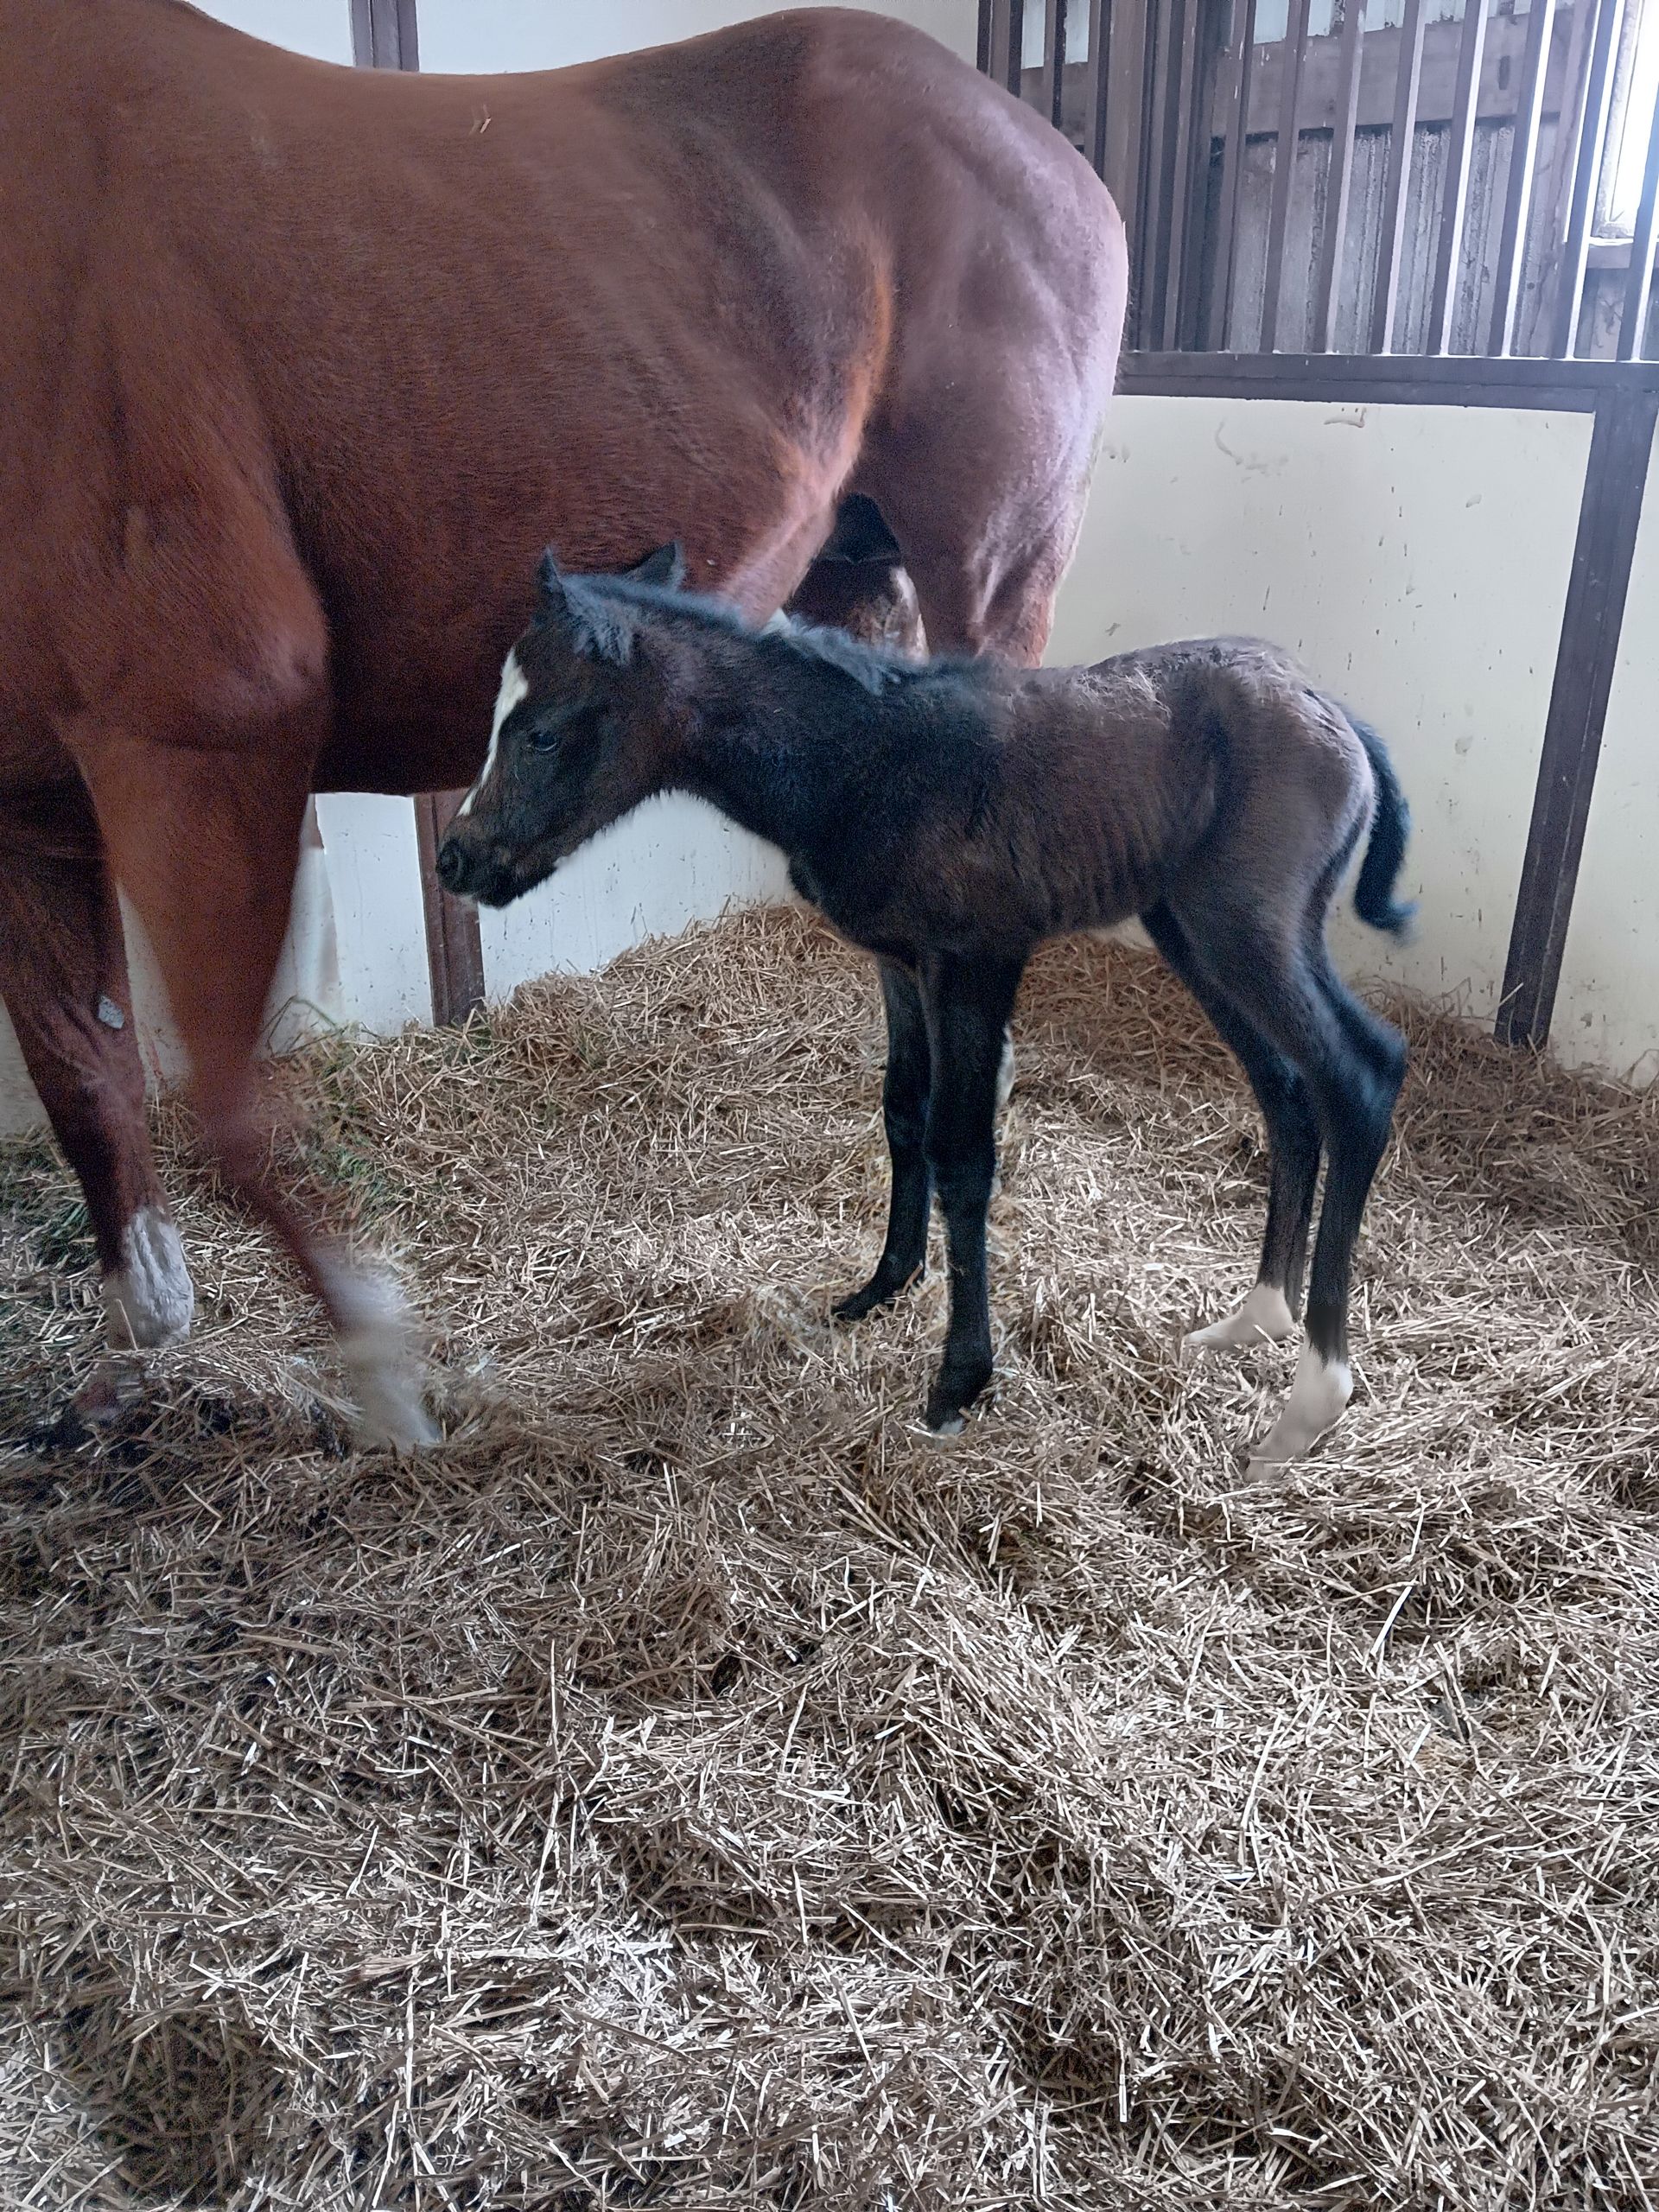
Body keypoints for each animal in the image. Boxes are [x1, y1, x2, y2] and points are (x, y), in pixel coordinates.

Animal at [0, 0, 1126, 1442]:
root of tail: (1060, 161)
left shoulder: (204, 738)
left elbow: (231, 1113)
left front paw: (388, 1369)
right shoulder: (32, 805)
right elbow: (89, 1087)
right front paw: (138, 1349)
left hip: (992, 587)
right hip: (859, 594)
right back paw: (895, 1257)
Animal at [437, 550, 1414, 1469]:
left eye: (541, 732)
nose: (456, 860)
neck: (862, 760)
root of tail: (1339, 716)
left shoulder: (975, 962)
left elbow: (964, 1153)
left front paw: (960, 1377)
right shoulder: (900, 965)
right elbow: (903, 1111)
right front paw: (883, 1284)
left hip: (1245, 927)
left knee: (1359, 1073)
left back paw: (1314, 1395)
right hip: (1193, 932)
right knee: (1286, 1090)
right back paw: (1256, 1318)